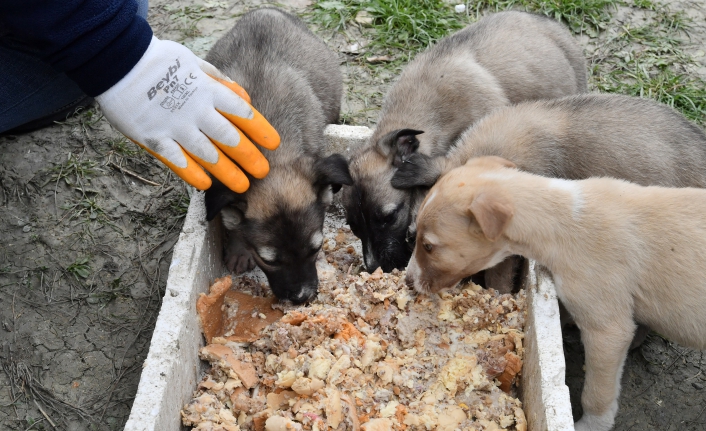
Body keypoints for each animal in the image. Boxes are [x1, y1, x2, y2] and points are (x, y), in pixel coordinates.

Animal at [202, 6, 350, 304]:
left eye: (316, 249)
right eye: (269, 260)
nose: (303, 297)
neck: (269, 157)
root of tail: (267, 9)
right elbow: (232, 220)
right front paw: (239, 249)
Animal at [404, 156, 704, 431]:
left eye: (428, 246)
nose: (407, 281)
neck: (564, 218)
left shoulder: (608, 330)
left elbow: (597, 393)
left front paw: (591, 425)